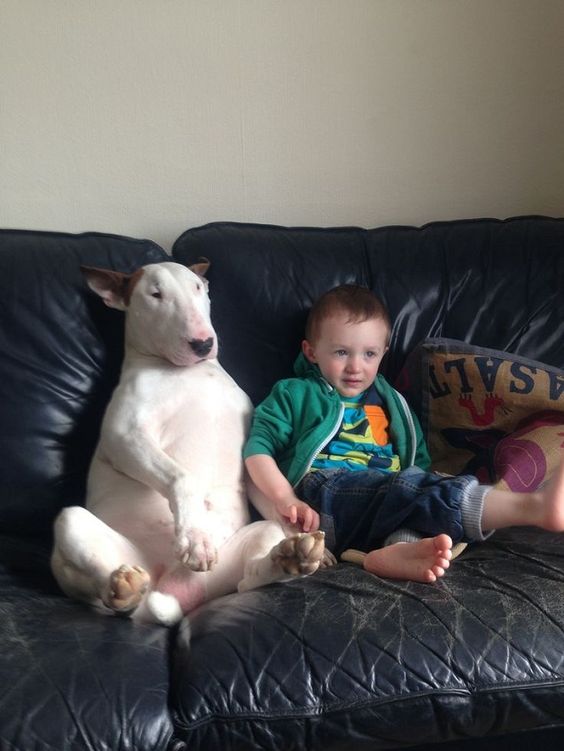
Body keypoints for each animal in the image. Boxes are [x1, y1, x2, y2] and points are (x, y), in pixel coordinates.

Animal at [54, 262, 326, 624]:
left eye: (198, 287)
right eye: (155, 294)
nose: (202, 344)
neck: (189, 373)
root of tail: (172, 590)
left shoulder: (249, 448)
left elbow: (270, 492)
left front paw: (302, 525)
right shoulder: (125, 437)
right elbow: (183, 478)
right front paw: (195, 539)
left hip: (241, 555)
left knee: (250, 574)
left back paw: (292, 557)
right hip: (79, 535)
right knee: (97, 582)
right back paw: (123, 587)